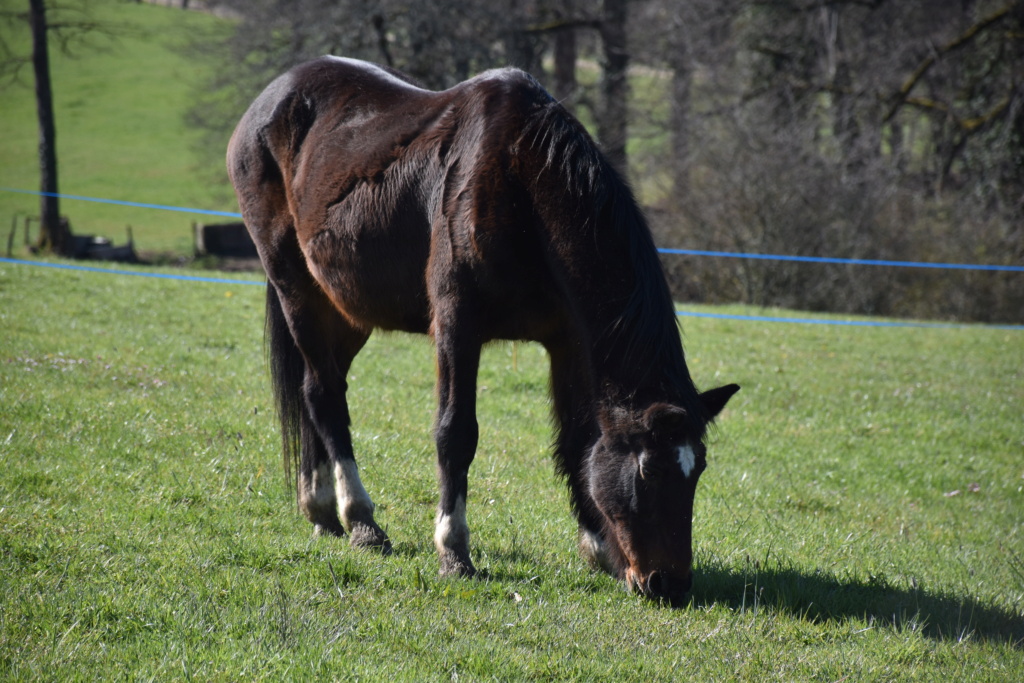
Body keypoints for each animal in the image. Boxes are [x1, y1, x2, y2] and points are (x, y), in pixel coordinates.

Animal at [226, 57, 737, 602]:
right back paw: (361, 520)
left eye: (699, 468)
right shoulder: (458, 328)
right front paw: (454, 551)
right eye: (650, 469)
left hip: (345, 310)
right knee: (324, 396)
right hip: (296, 287)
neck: (522, 183)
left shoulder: (567, 343)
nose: (669, 585)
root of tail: (272, 99)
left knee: (312, 392)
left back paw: (321, 511)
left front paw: (598, 548)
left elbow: (577, 441)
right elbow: (456, 434)